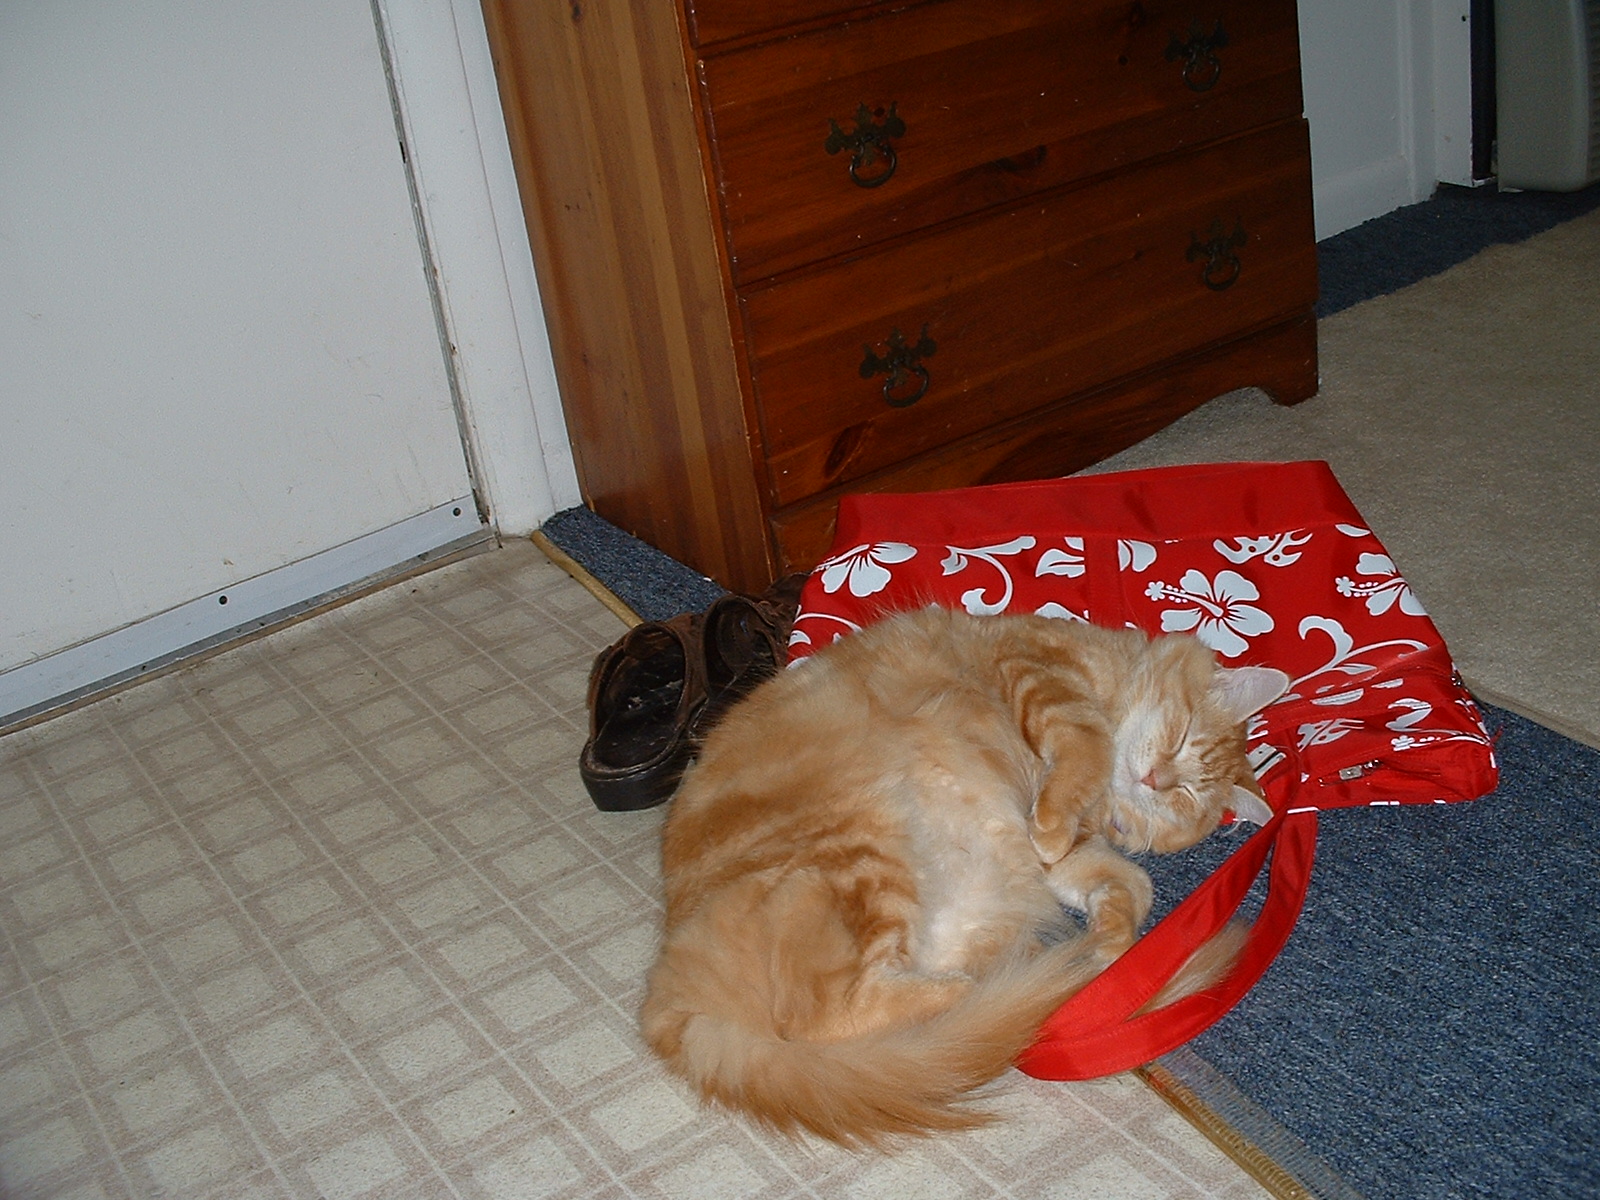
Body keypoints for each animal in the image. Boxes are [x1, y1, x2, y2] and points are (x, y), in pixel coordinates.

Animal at [640, 605, 1287, 1147]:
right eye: (1180, 738)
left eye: (1185, 796)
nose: (1155, 779)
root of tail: (675, 1008)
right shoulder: (1038, 672)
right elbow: (1088, 745)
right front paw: (1064, 827)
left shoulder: (1065, 860)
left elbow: (1130, 884)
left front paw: (1112, 942)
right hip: (863, 847)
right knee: (823, 1015)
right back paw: (988, 988)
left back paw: (1035, 971)